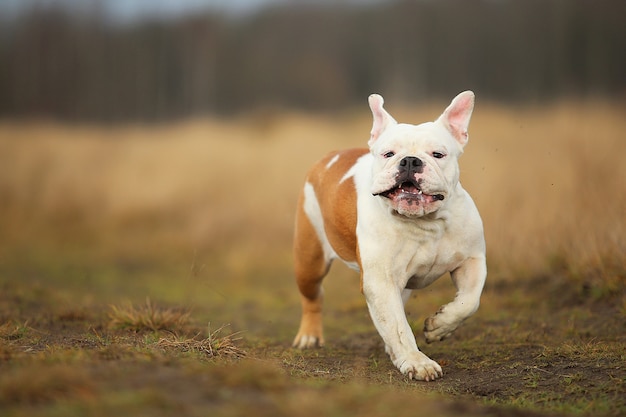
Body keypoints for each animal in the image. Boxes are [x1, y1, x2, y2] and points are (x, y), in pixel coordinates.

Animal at [290, 91, 486, 380]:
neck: (424, 222)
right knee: (313, 297)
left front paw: (439, 326)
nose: (410, 160)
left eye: (438, 154)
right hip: (309, 259)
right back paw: (309, 336)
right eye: (388, 153)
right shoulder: (380, 281)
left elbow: (469, 301)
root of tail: (331, 156)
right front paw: (417, 361)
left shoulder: (472, 260)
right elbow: (399, 327)